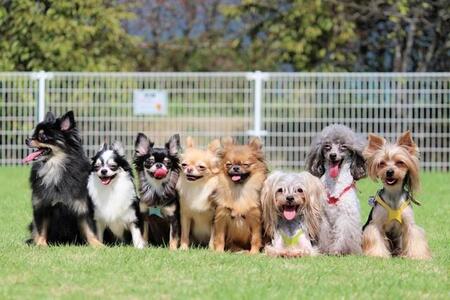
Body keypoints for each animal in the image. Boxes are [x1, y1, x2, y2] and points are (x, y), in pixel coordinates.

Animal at [22, 110, 102, 246]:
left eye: (42, 137)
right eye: (34, 134)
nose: (27, 139)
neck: (56, 166)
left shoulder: (82, 206)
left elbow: (89, 229)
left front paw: (97, 245)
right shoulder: (42, 207)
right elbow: (41, 229)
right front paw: (41, 245)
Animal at [306, 124, 366, 255]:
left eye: (343, 146)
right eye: (327, 146)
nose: (333, 155)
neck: (335, 186)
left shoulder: (346, 214)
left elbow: (344, 233)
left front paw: (340, 251)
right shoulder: (323, 216)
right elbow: (324, 234)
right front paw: (324, 249)